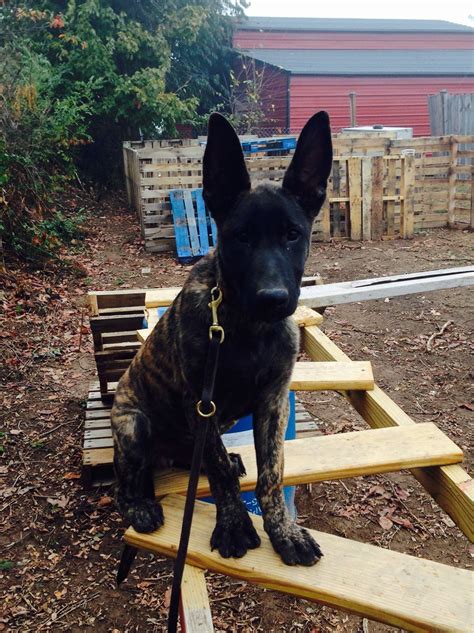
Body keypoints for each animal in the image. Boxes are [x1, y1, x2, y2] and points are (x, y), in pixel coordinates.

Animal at [111, 111, 334, 564]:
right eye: (240, 237)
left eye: (293, 234)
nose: (273, 299)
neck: (248, 327)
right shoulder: (201, 402)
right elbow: (216, 472)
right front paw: (233, 524)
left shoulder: (272, 403)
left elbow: (271, 474)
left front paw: (283, 531)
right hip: (134, 426)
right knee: (128, 483)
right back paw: (141, 506)